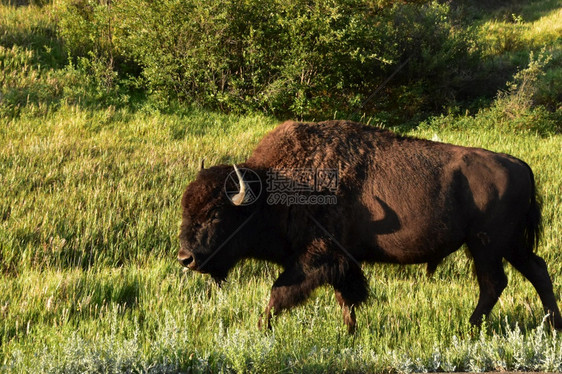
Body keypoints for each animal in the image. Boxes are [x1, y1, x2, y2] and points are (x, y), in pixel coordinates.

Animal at [178, 120, 560, 334]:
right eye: (186, 208)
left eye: (216, 214)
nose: (185, 258)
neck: (275, 188)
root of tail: (520, 164)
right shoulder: (342, 263)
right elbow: (346, 298)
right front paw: (350, 335)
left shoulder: (317, 258)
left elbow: (278, 293)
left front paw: (261, 331)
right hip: (509, 244)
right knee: (536, 271)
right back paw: (552, 325)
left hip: (486, 245)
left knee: (494, 282)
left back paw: (470, 328)